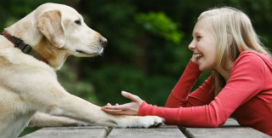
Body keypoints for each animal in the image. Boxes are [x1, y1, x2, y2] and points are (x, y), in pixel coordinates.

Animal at [0, 2, 164, 137]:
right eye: (77, 22)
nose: (105, 41)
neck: (25, 47)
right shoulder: (61, 99)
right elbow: (101, 112)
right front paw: (144, 119)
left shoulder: (37, 114)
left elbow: (66, 118)